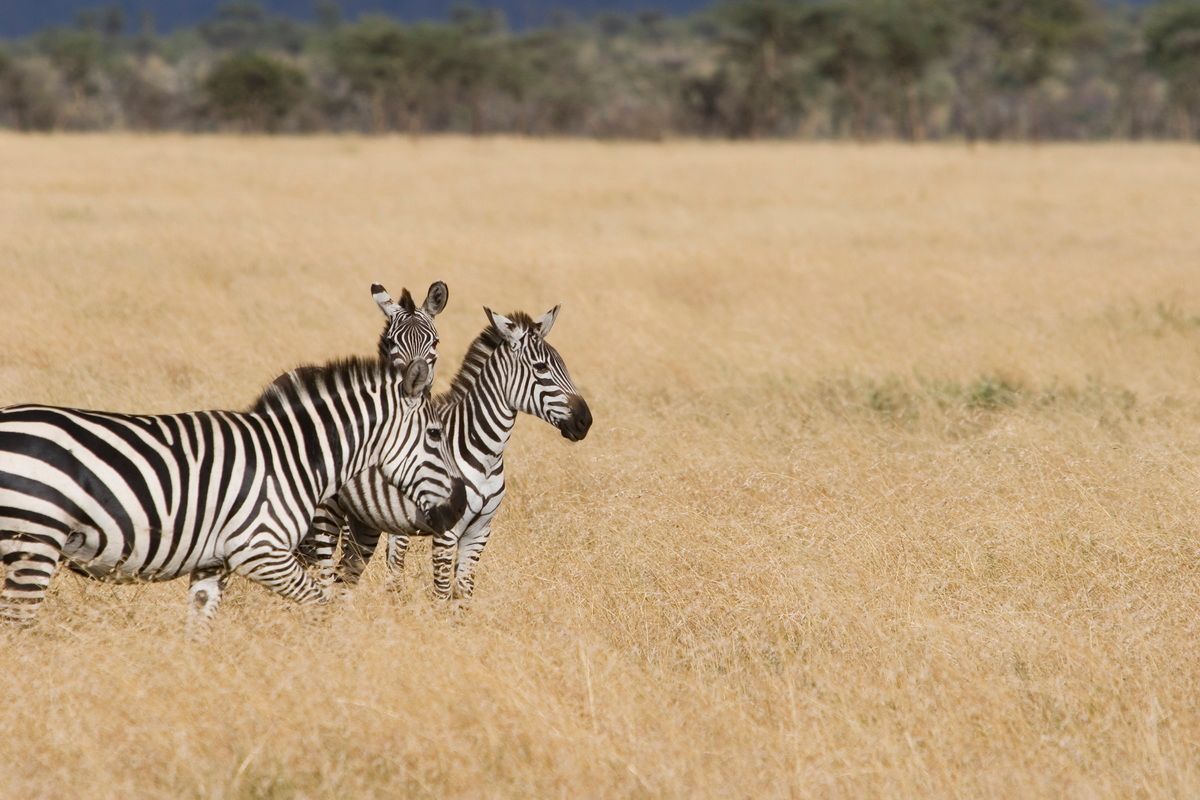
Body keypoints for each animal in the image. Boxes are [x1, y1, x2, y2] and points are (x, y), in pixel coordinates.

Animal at [0, 356, 465, 633]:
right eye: (435, 434)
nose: (459, 507)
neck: (295, 456)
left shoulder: (213, 563)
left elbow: (199, 631)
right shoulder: (260, 551)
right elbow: (322, 604)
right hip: (35, 541)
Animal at [304, 305, 591, 600]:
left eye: (563, 365)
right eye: (541, 368)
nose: (585, 421)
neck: (486, 454)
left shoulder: (479, 533)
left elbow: (463, 596)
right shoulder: (447, 532)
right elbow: (441, 594)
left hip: (363, 520)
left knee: (345, 573)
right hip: (326, 513)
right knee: (325, 573)